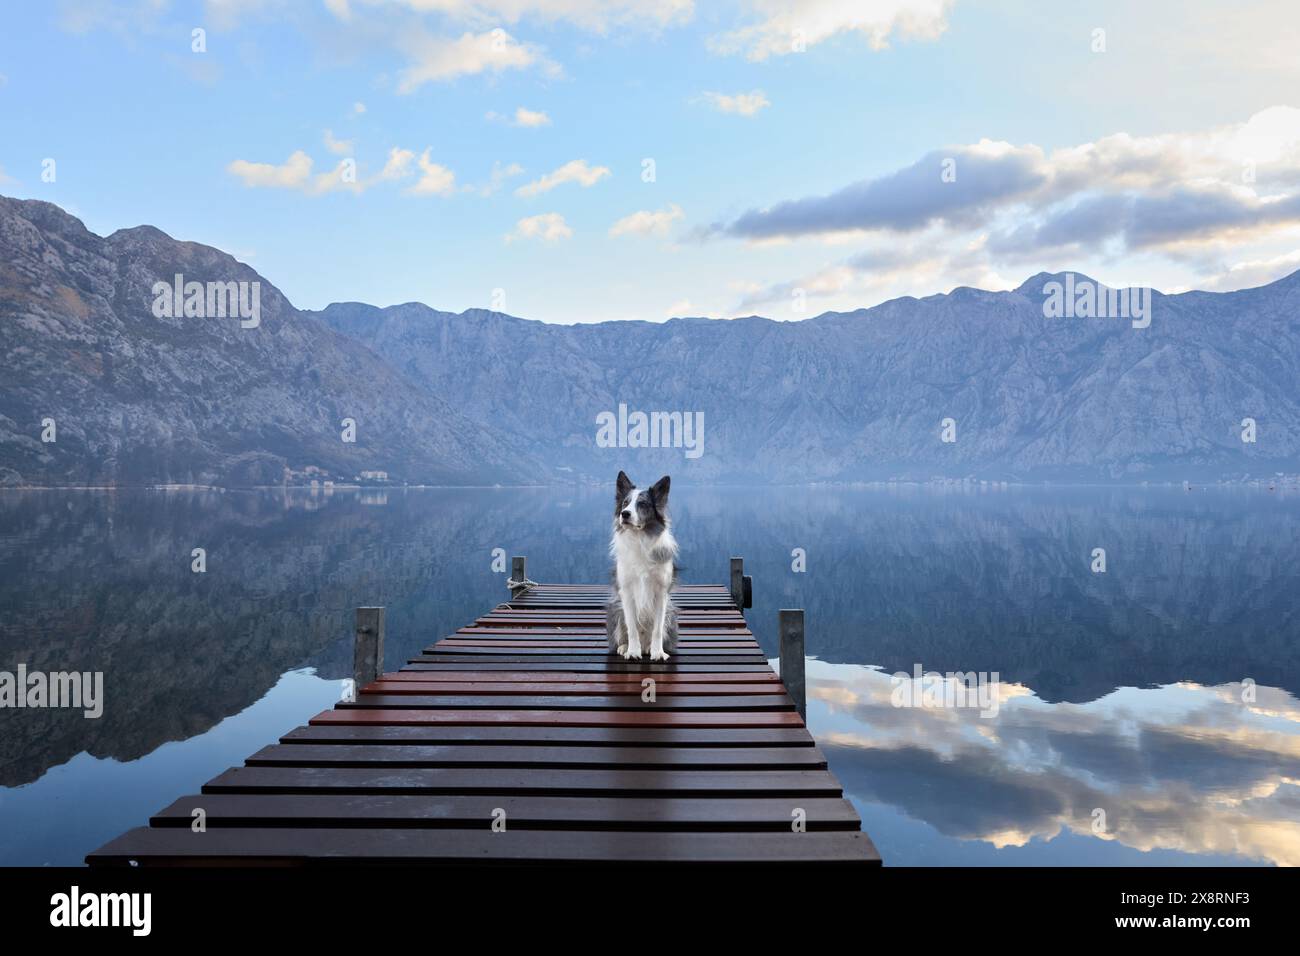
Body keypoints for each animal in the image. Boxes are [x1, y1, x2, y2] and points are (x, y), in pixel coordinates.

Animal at [605, 476, 681, 660]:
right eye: (625, 503)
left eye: (643, 504)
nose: (624, 514)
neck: (640, 538)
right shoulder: (626, 591)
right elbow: (632, 627)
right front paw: (633, 652)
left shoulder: (661, 593)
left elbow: (657, 629)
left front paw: (658, 652)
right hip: (615, 608)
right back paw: (625, 647)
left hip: (671, 613)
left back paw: (649, 648)